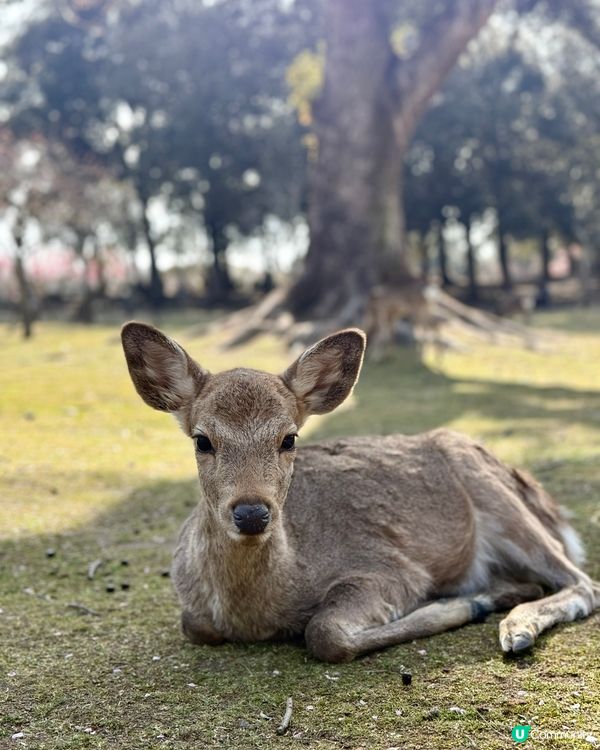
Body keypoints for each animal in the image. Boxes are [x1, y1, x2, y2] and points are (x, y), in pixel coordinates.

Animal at [121, 322, 600, 663]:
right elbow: (192, 625)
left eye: (289, 438)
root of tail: (549, 508)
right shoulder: (193, 612)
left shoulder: (391, 568)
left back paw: (512, 624)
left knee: (582, 582)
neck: (256, 613)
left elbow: (324, 634)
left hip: (495, 493)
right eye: (202, 440)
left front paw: (469, 604)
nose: (252, 513)